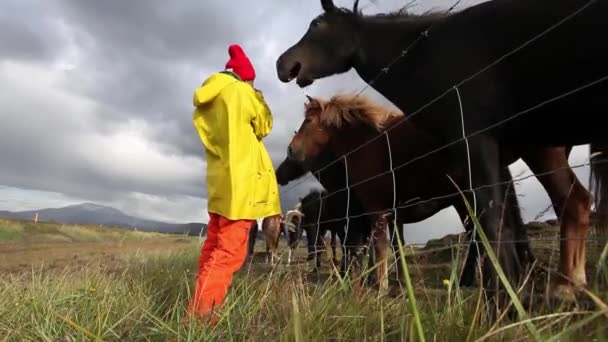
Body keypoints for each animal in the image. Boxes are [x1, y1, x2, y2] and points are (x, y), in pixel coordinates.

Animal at [288, 93, 592, 302]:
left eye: (308, 121)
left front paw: (380, 286)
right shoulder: (388, 214)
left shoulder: (377, 210)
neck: (370, 141)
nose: (291, 150)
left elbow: (379, 249)